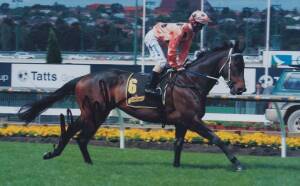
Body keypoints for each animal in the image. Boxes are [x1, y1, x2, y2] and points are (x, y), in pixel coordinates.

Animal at [18, 41, 246, 171]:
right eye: (236, 65)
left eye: (243, 66)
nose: (241, 89)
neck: (190, 81)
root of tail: (83, 77)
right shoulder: (192, 119)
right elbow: (216, 138)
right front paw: (237, 163)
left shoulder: (182, 121)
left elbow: (179, 144)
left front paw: (176, 166)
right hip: (96, 111)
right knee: (81, 136)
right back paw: (83, 162)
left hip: (92, 112)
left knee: (76, 133)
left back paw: (60, 155)